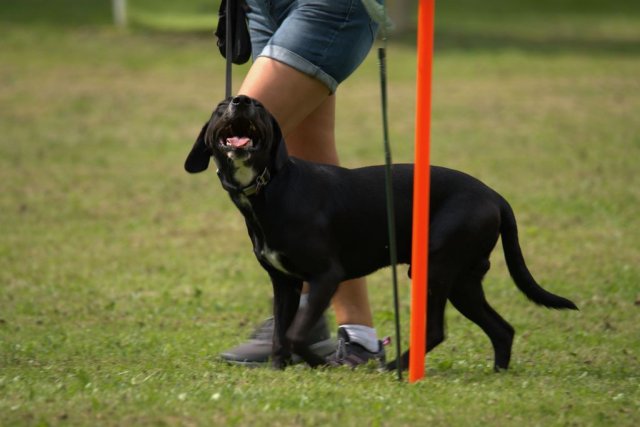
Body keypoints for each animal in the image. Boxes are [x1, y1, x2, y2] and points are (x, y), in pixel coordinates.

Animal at [185, 95, 578, 371]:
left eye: (262, 107)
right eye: (220, 107)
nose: (242, 100)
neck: (270, 188)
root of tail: (495, 196)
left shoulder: (326, 275)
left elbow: (295, 333)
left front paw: (318, 362)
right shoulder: (285, 283)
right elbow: (282, 333)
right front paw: (280, 369)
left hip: (433, 269)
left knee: (436, 330)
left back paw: (394, 368)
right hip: (463, 282)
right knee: (501, 329)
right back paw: (497, 373)